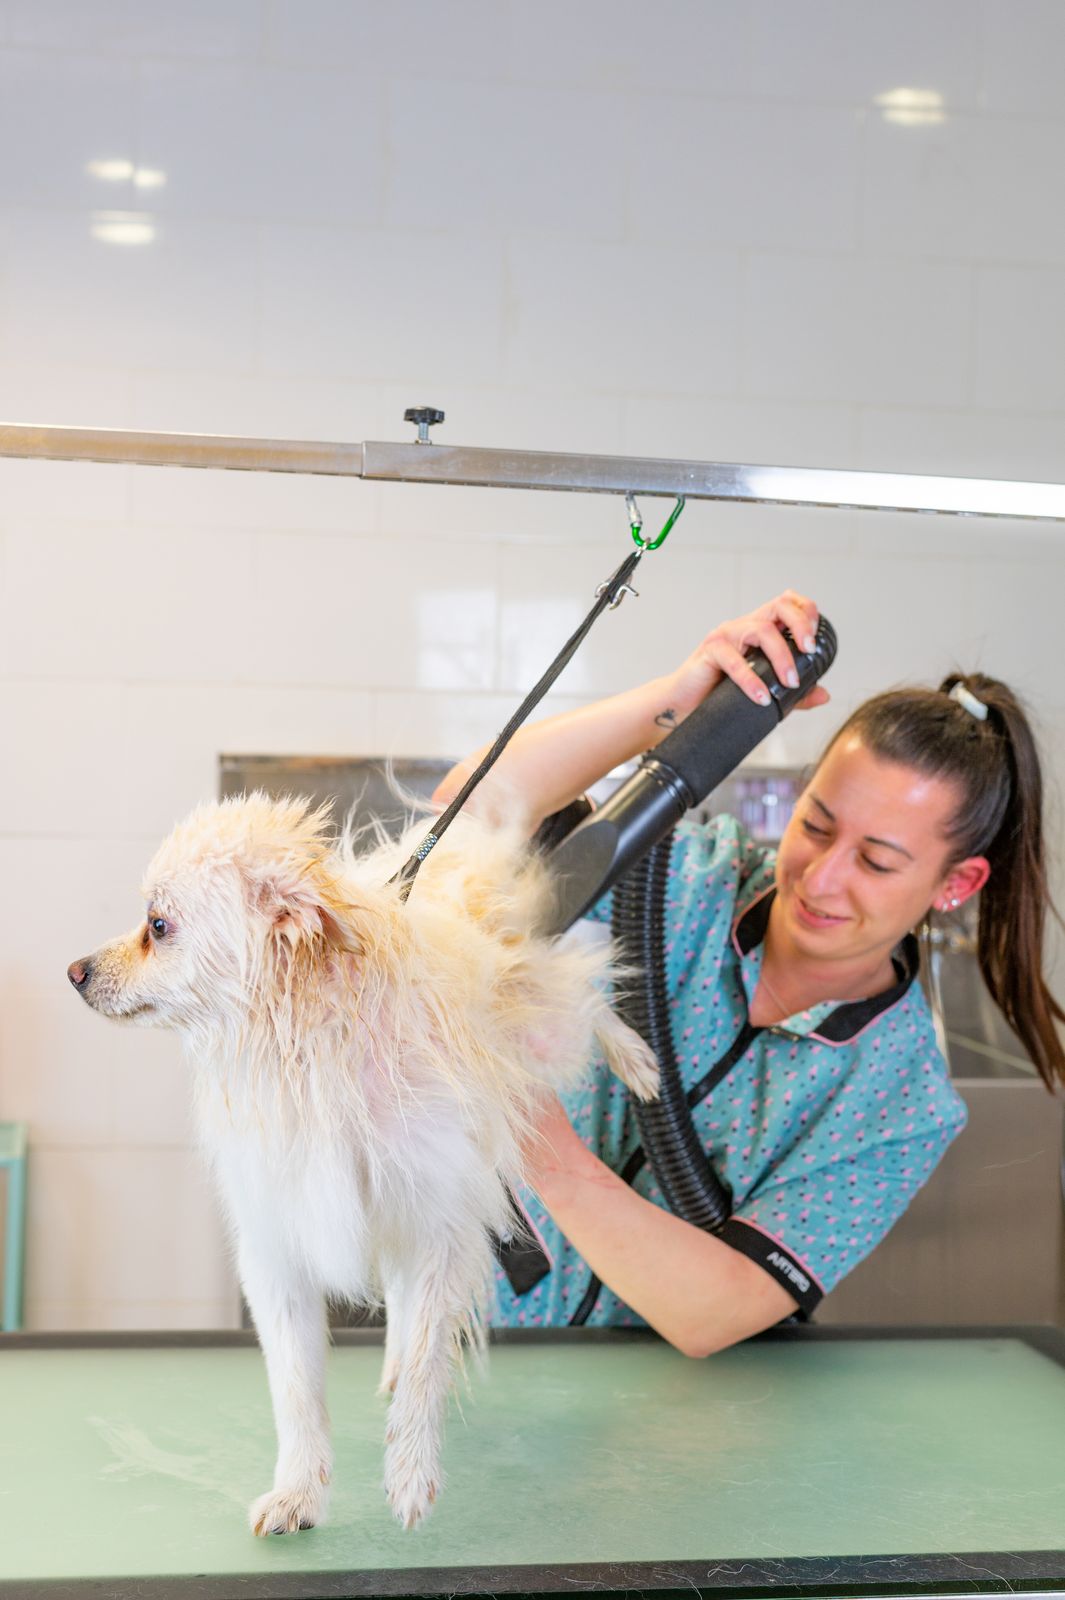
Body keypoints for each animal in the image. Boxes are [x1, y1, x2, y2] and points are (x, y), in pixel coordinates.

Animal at [66, 800, 655, 1536]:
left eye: (158, 926)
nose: (75, 970)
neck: (305, 1049)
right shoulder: (281, 1249)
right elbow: (295, 1389)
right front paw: (298, 1491)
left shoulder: (439, 1223)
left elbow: (430, 1355)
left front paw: (410, 1470)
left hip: (546, 1032)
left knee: (584, 995)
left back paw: (636, 1058)